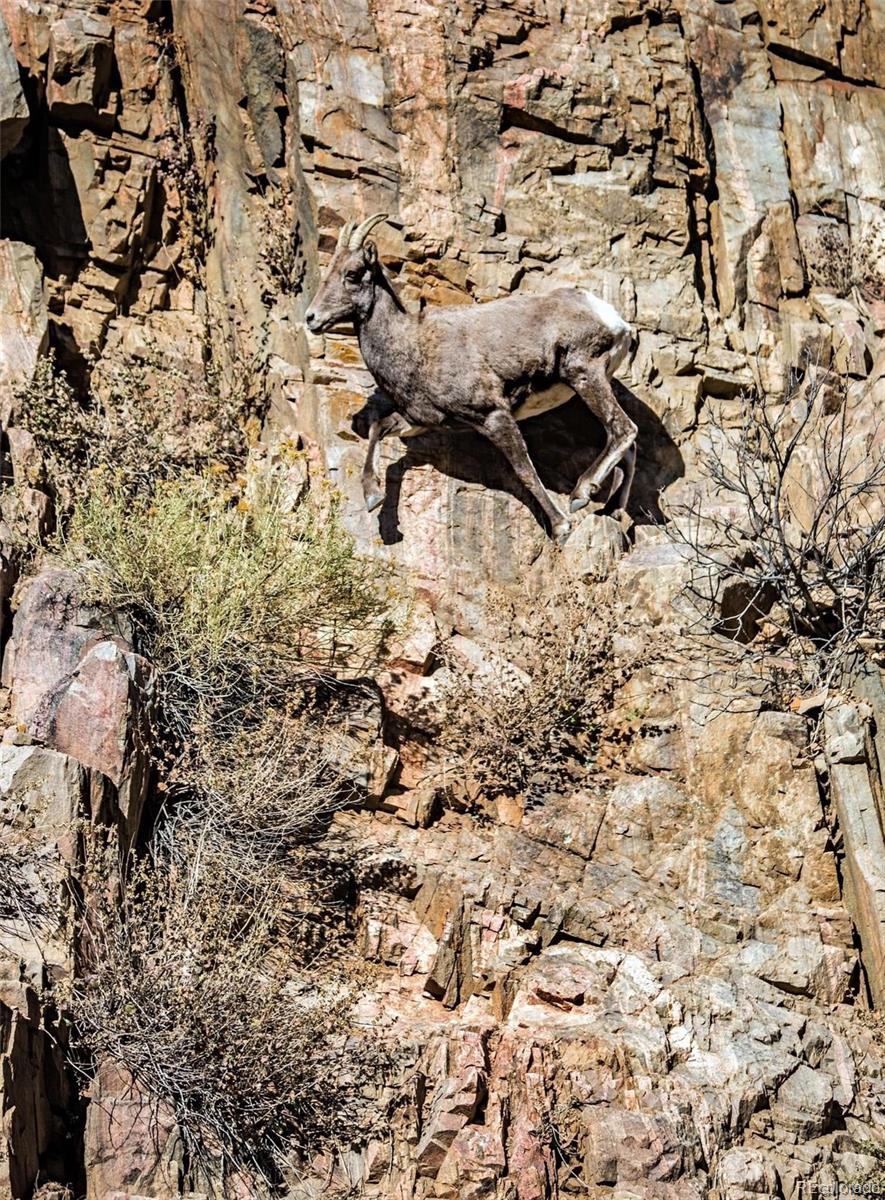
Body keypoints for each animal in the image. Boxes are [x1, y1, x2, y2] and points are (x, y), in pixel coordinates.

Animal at [303, 213, 633, 542]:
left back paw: (581, 494)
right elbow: (377, 428)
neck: (413, 344)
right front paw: (373, 497)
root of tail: (611, 317)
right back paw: (613, 511)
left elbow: (524, 470)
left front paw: (560, 526)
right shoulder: (421, 421)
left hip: (584, 373)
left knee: (623, 430)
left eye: (352, 273)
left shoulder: (493, 416)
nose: (311, 318)